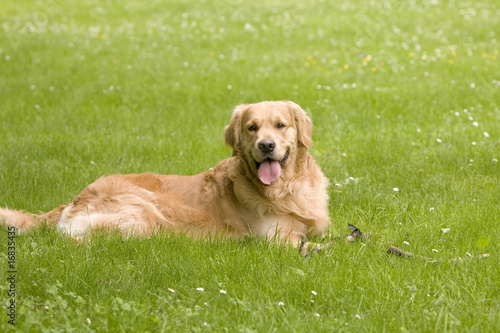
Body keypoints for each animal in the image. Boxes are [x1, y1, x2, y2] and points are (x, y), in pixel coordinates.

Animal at [0, 100, 332, 249]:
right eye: (252, 128)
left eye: (280, 125)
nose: (266, 145)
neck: (286, 190)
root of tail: (76, 197)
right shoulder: (273, 238)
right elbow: (308, 244)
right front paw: (323, 250)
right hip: (145, 212)